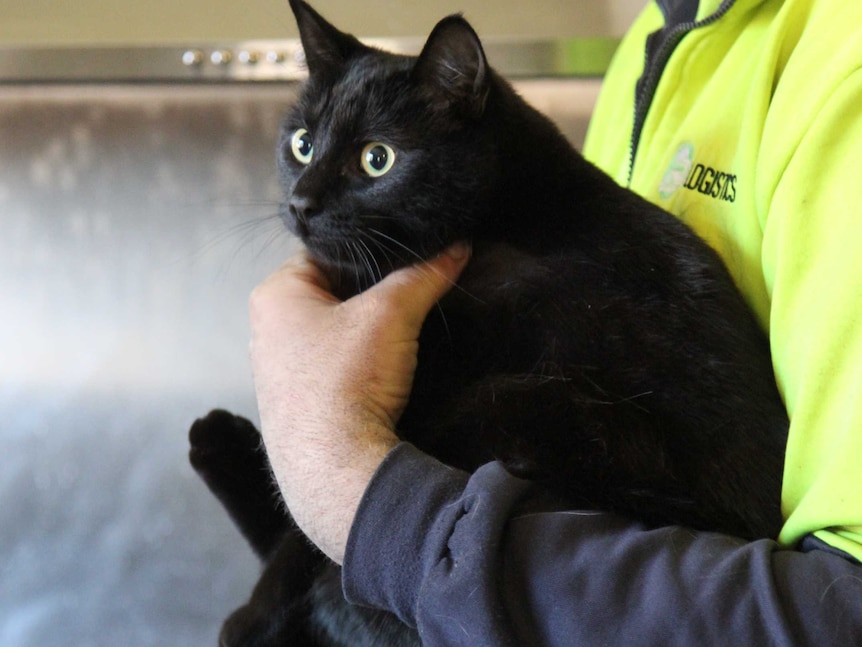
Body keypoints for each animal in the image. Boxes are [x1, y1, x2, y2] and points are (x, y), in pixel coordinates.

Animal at [189, 2, 788, 644]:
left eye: (378, 159)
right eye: (302, 144)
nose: (301, 202)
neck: (507, 218)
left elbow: (305, 540)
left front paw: (249, 617)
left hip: (521, 404)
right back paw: (214, 439)